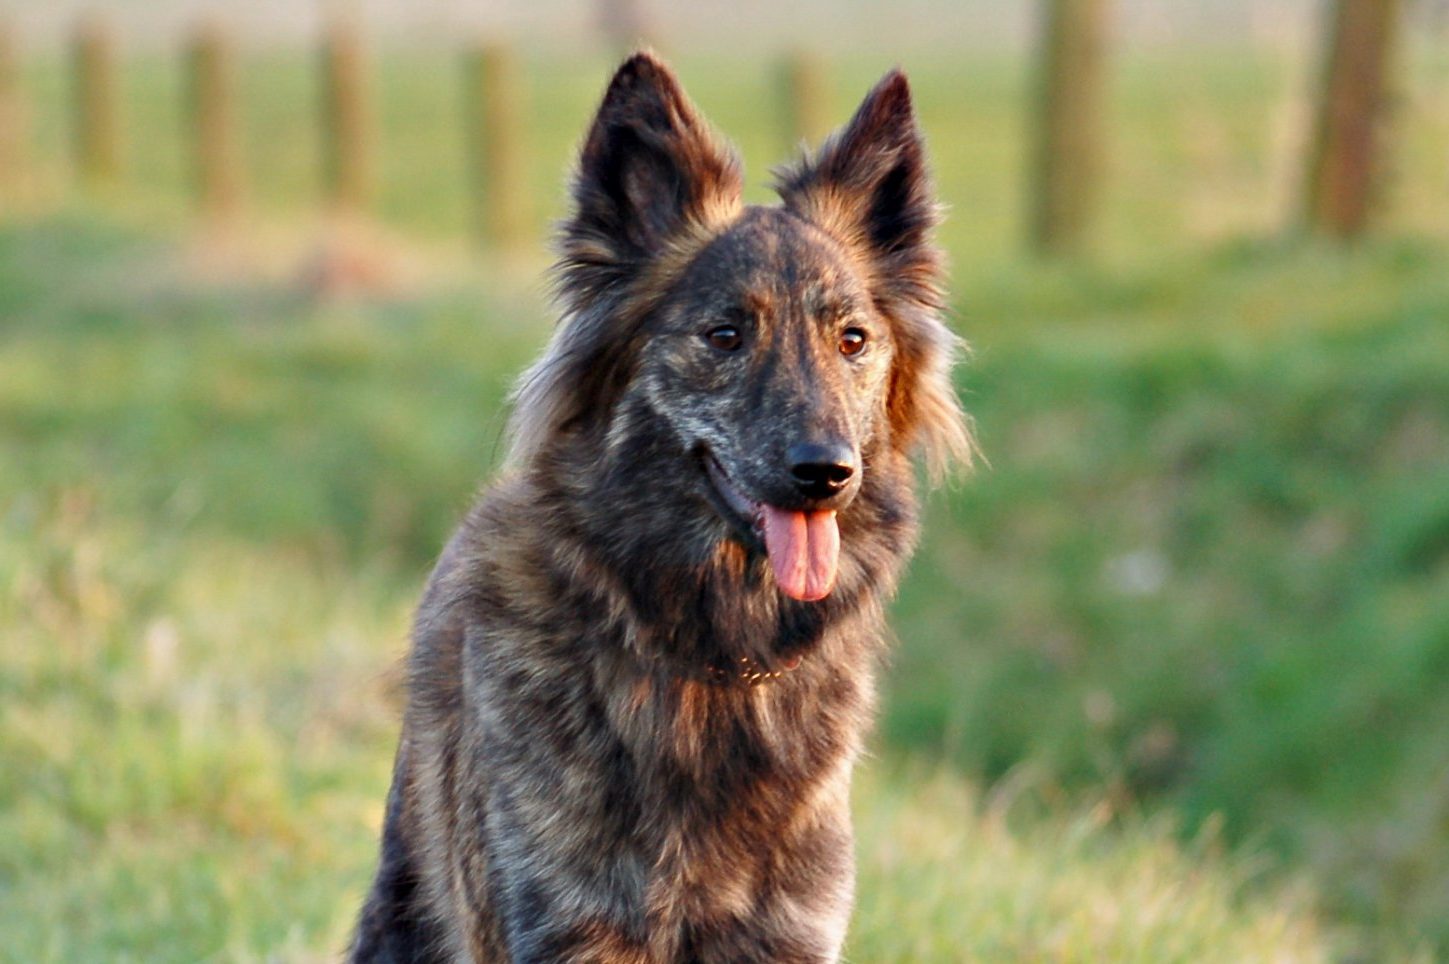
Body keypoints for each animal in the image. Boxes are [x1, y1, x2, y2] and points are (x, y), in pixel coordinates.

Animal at [344, 54, 967, 962]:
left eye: (851, 339)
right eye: (724, 335)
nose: (826, 473)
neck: (715, 658)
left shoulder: (787, 931)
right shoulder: (564, 923)